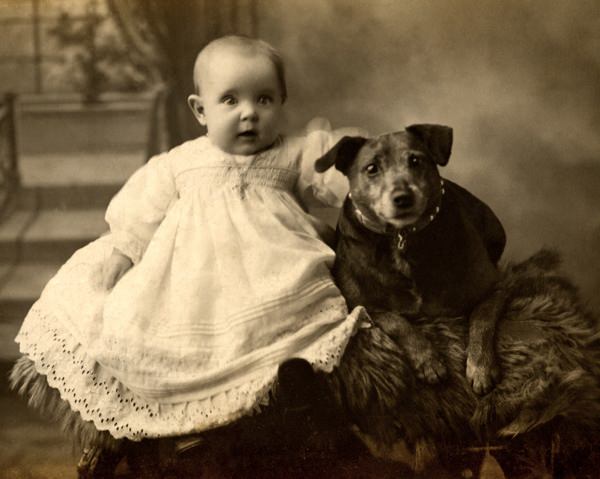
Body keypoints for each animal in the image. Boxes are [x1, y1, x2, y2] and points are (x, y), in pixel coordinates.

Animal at [316, 124, 508, 394]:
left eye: (415, 160)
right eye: (372, 168)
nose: (403, 197)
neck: (402, 237)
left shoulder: (494, 288)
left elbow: (482, 320)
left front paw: (481, 366)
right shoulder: (360, 304)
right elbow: (398, 323)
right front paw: (428, 360)